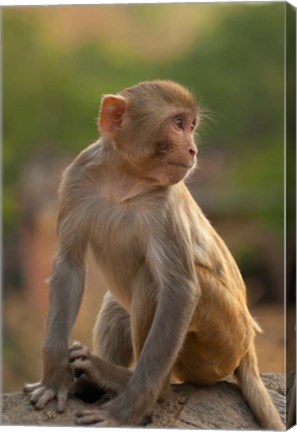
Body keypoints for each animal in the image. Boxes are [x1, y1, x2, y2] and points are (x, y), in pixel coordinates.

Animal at [24, 80, 284, 428]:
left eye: (191, 126)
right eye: (179, 124)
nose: (192, 149)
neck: (124, 176)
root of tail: (248, 351)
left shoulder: (165, 203)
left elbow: (180, 290)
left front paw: (123, 412)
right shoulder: (75, 179)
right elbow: (69, 266)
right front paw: (54, 380)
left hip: (222, 339)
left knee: (152, 281)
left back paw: (132, 384)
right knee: (118, 303)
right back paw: (91, 382)